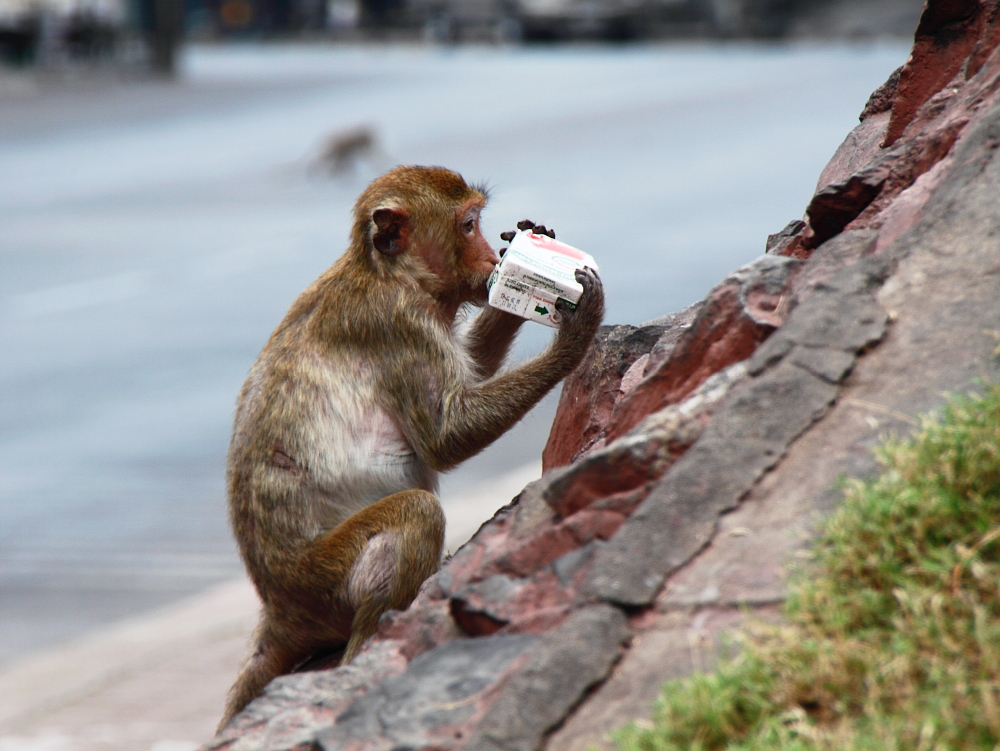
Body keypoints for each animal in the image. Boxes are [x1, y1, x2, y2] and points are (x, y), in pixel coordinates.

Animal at [218, 166, 600, 728]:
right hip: (323, 580)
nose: (490, 258)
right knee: (417, 512)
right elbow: (446, 436)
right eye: (467, 226)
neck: (390, 274)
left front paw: (526, 251)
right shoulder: (399, 323)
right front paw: (575, 327)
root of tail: (279, 607)